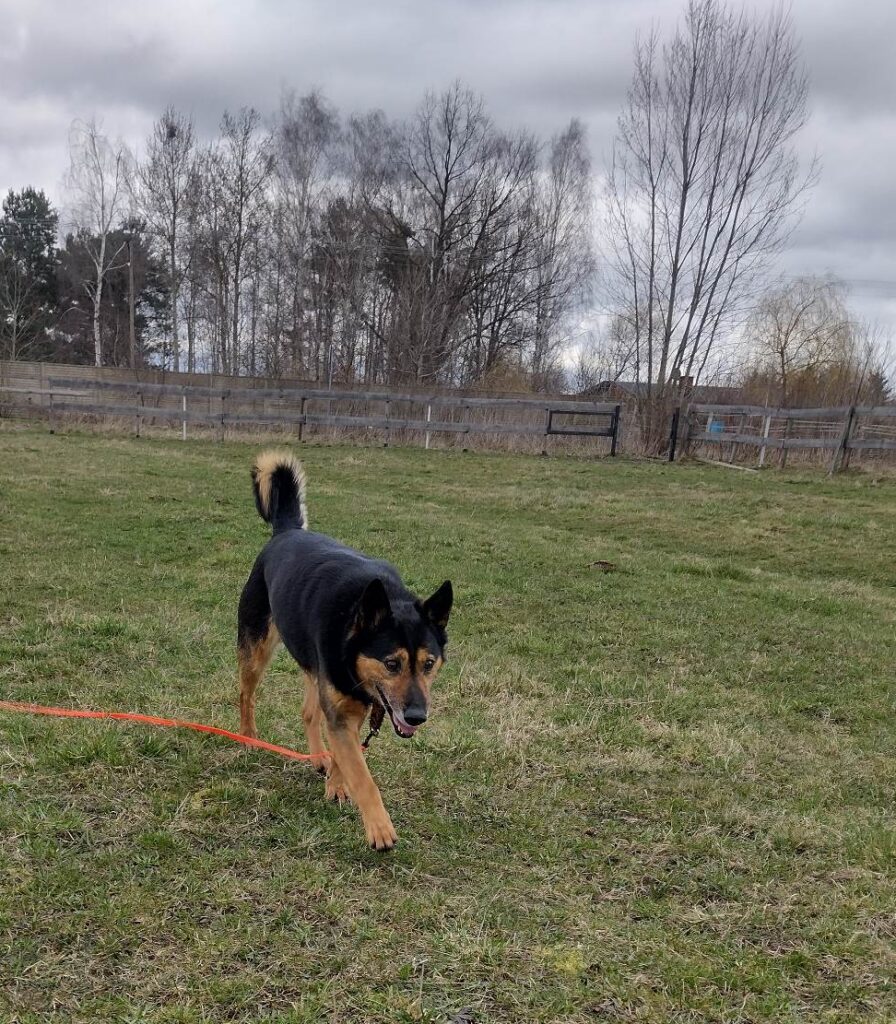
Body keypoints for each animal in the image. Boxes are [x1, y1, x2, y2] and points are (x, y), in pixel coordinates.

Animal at [236, 452, 452, 851]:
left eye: (429, 664)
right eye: (391, 663)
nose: (416, 717)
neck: (354, 627)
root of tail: (288, 531)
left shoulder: (353, 706)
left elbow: (345, 755)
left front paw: (336, 783)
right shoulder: (342, 707)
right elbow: (362, 775)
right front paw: (379, 827)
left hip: (313, 667)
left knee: (309, 711)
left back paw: (318, 757)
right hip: (256, 649)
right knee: (246, 694)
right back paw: (248, 736)